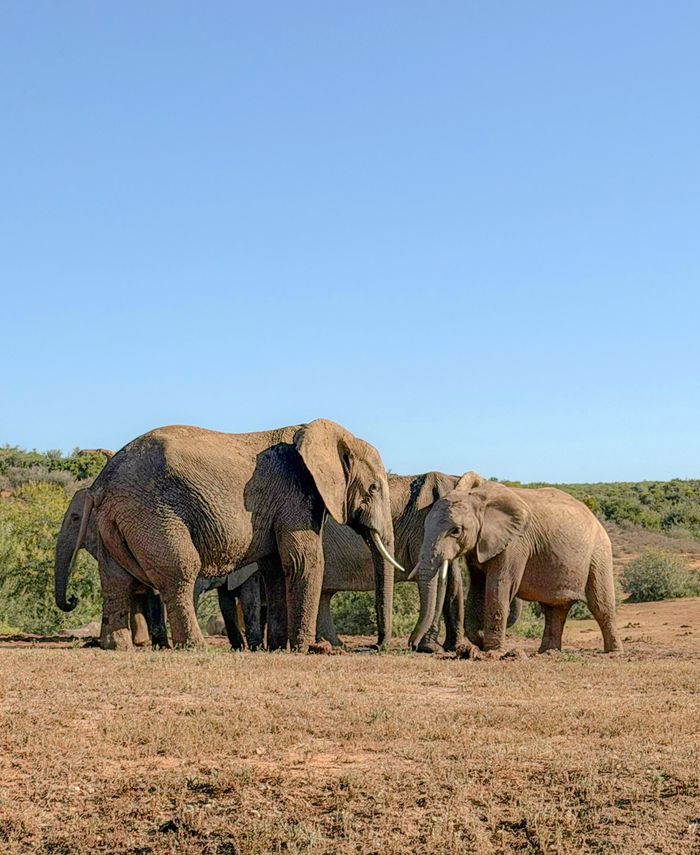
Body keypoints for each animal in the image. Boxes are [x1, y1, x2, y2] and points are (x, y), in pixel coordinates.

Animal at [317, 472, 523, 651]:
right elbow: (440, 581)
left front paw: (452, 648)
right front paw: (432, 648)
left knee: (324, 596)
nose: (376, 646)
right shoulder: (422, 526)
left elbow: (452, 581)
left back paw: (334, 645)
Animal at [409, 472, 623, 656]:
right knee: (554, 609)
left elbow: (500, 585)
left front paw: (493, 651)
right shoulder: (480, 545)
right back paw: (547, 652)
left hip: (599, 552)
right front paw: (480, 642)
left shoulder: (515, 543)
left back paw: (613, 653)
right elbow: (478, 588)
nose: (412, 645)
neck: (479, 499)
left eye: (455, 531)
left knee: (601, 605)